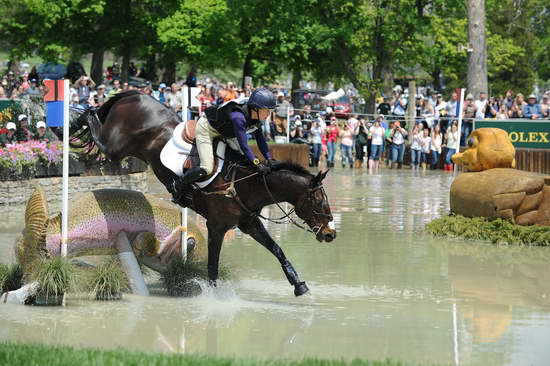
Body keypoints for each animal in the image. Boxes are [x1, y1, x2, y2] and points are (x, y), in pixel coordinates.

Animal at [74, 90, 338, 296]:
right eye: (317, 200)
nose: (330, 234)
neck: (245, 183)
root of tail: (136, 94)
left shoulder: (249, 224)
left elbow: (277, 250)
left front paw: (299, 285)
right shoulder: (217, 226)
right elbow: (213, 265)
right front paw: (213, 296)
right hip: (116, 147)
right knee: (97, 128)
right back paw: (77, 118)